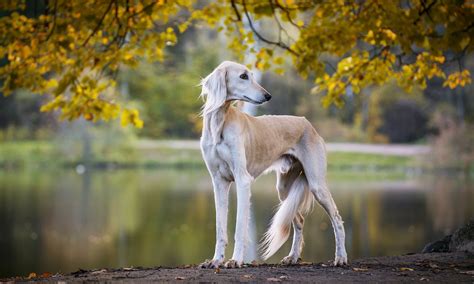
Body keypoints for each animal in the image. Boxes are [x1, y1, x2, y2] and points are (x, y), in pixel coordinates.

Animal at [198, 61, 346, 268]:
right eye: (243, 76)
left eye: (252, 75)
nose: (268, 96)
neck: (219, 123)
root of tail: (307, 123)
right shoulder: (219, 182)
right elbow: (220, 228)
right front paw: (216, 260)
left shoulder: (243, 180)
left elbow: (240, 227)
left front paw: (235, 260)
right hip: (284, 189)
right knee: (299, 220)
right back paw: (293, 257)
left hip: (317, 184)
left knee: (337, 219)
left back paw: (341, 257)